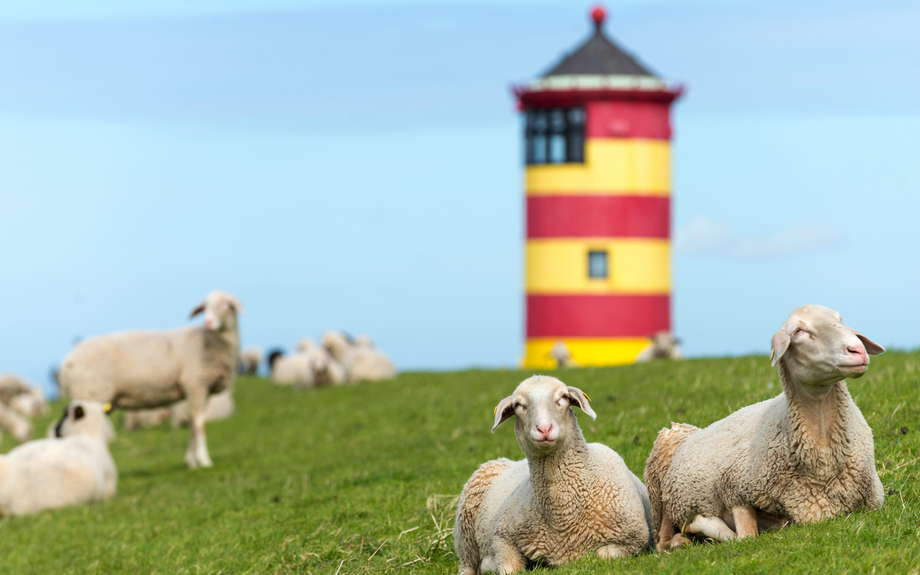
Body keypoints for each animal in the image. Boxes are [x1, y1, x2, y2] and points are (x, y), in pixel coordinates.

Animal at [56, 290, 244, 470]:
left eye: (225, 305)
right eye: (205, 307)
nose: (209, 323)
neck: (210, 341)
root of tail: (67, 362)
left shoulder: (203, 391)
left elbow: (193, 424)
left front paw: (191, 462)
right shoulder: (196, 385)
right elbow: (200, 425)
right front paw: (204, 460)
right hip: (90, 393)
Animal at [454, 374, 656, 572]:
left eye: (563, 397)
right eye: (518, 405)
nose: (544, 429)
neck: (563, 517)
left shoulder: (633, 540)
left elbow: (603, 555)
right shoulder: (503, 535)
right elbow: (507, 566)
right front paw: (493, 564)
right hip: (465, 533)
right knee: (468, 565)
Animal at [644, 304, 888, 552]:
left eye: (840, 320)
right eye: (798, 331)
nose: (857, 350)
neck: (823, 465)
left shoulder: (872, 503)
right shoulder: (732, 486)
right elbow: (744, 537)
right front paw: (703, 522)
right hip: (660, 495)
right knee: (663, 541)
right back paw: (682, 539)